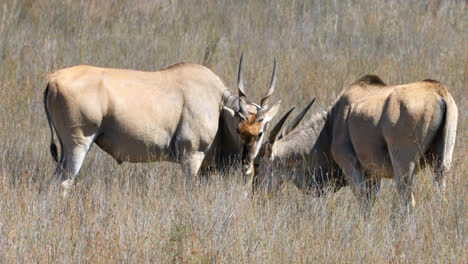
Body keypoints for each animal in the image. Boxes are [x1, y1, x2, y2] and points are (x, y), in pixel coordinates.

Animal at [44, 54, 280, 194]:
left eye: (260, 132)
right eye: (239, 129)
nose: (247, 163)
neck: (217, 103)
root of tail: (53, 78)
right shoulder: (191, 157)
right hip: (78, 145)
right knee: (63, 183)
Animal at [250, 75, 456, 207]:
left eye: (257, 163)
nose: (255, 197)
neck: (330, 127)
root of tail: (439, 91)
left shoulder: (351, 167)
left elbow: (364, 204)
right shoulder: (373, 175)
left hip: (404, 167)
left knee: (408, 201)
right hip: (442, 164)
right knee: (441, 193)